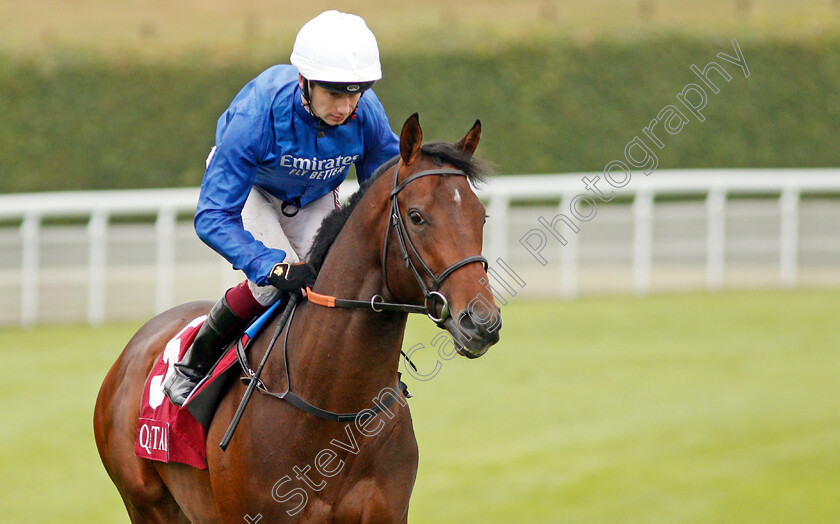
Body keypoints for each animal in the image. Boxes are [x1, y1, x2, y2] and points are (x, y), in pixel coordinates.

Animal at [93, 112, 498, 520]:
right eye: (417, 217)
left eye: (482, 216)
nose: (482, 322)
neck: (336, 410)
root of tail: (133, 349)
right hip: (147, 505)